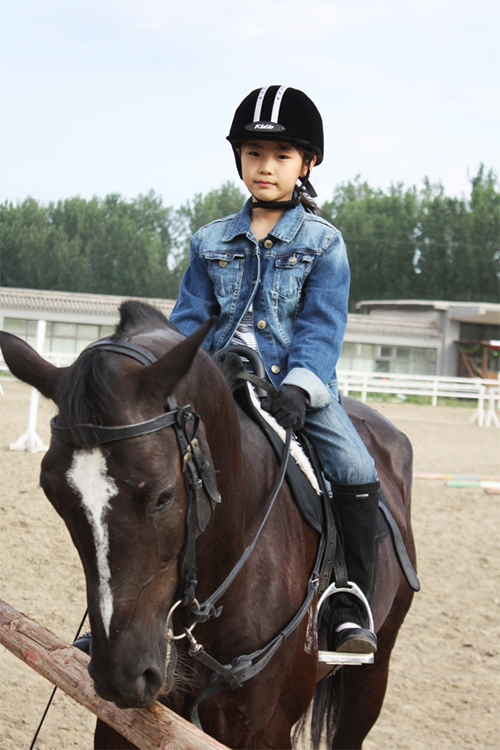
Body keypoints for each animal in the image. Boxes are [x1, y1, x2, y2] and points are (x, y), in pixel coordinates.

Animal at [0, 300, 418, 749]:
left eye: (164, 495)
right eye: (53, 493)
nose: (121, 676)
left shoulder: (265, 731)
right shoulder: (124, 723)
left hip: (373, 670)